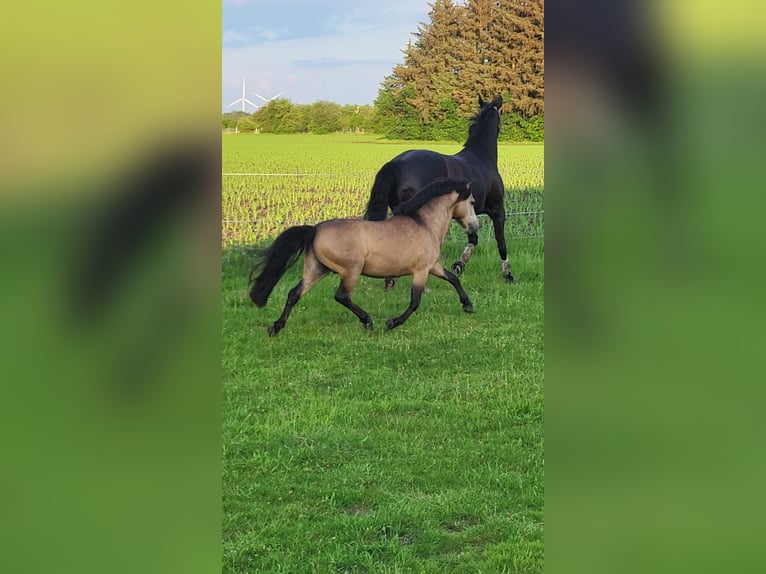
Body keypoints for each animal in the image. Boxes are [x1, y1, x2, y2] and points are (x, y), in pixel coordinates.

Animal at [249, 178, 479, 336]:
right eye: (472, 201)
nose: (476, 227)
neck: (424, 224)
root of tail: (314, 229)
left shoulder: (433, 266)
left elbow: (453, 278)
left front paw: (468, 305)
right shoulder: (421, 271)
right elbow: (415, 302)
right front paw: (391, 323)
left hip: (317, 269)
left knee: (294, 294)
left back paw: (276, 327)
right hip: (351, 270)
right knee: (341, 296)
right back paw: (368, 321)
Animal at [364, 95, 515, 284]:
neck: (481, 158)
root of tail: (396, 163)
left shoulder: (466, 213)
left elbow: (473, 237)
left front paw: (459, 265)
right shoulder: (497, 210)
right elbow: (501, 242)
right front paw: (508, 274)